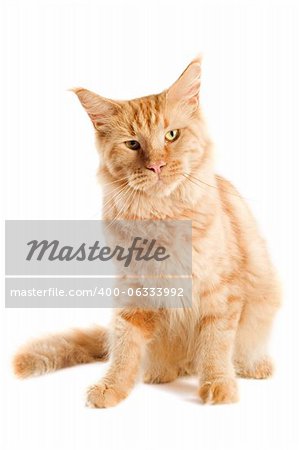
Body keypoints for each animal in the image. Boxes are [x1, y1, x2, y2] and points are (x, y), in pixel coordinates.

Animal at [13, 57, 282, 408]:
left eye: (171, 135)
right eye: (132, 144)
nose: (156, 165)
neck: (161, 216)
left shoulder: (220, 292)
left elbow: (215, 345)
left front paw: (219, 385)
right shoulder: (133, 291)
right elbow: (125, 349)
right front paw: (110, 388)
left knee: (243, 350)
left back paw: (253, 367)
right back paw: (163, 373)